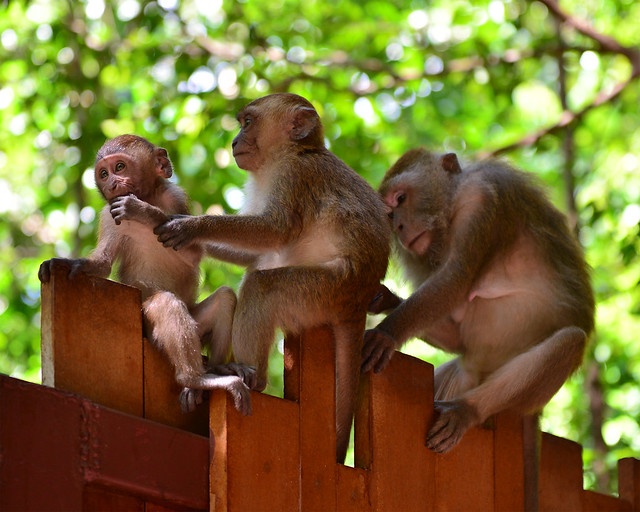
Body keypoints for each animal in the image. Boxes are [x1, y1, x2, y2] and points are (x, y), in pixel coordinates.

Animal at [38, 134, 255, 414]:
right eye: (103, 174)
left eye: (119, 167)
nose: (112, 184)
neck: (149, 195)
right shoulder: (108, 215)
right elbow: (103, 264)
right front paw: (70, 263)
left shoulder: (174, 196)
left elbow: (194, 251)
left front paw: (144, 212)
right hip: (150, 334)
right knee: (165, 303)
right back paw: (194, 379)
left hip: (195, 324)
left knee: (224, 297)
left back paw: (214, 370)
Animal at [155, 93, 390, 464]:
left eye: (248, 122)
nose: (234, 141)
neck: (295, 152)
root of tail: (358, 300)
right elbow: (256, 252)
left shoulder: (294, 175)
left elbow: (275, 230)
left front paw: (190, 226)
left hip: (326, 290)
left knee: (263, 286)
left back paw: (249, 376)